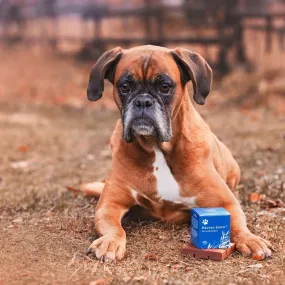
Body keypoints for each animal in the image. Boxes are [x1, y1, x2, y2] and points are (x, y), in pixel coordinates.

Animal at [83, 44, 272, 260]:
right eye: (124, 86)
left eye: (165, 87)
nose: (143, 101)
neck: (156, 147)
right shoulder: (109, 205)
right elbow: (114, 227)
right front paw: (110, 242)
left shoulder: (226, 202)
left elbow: (238, 224)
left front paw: (250, 239)